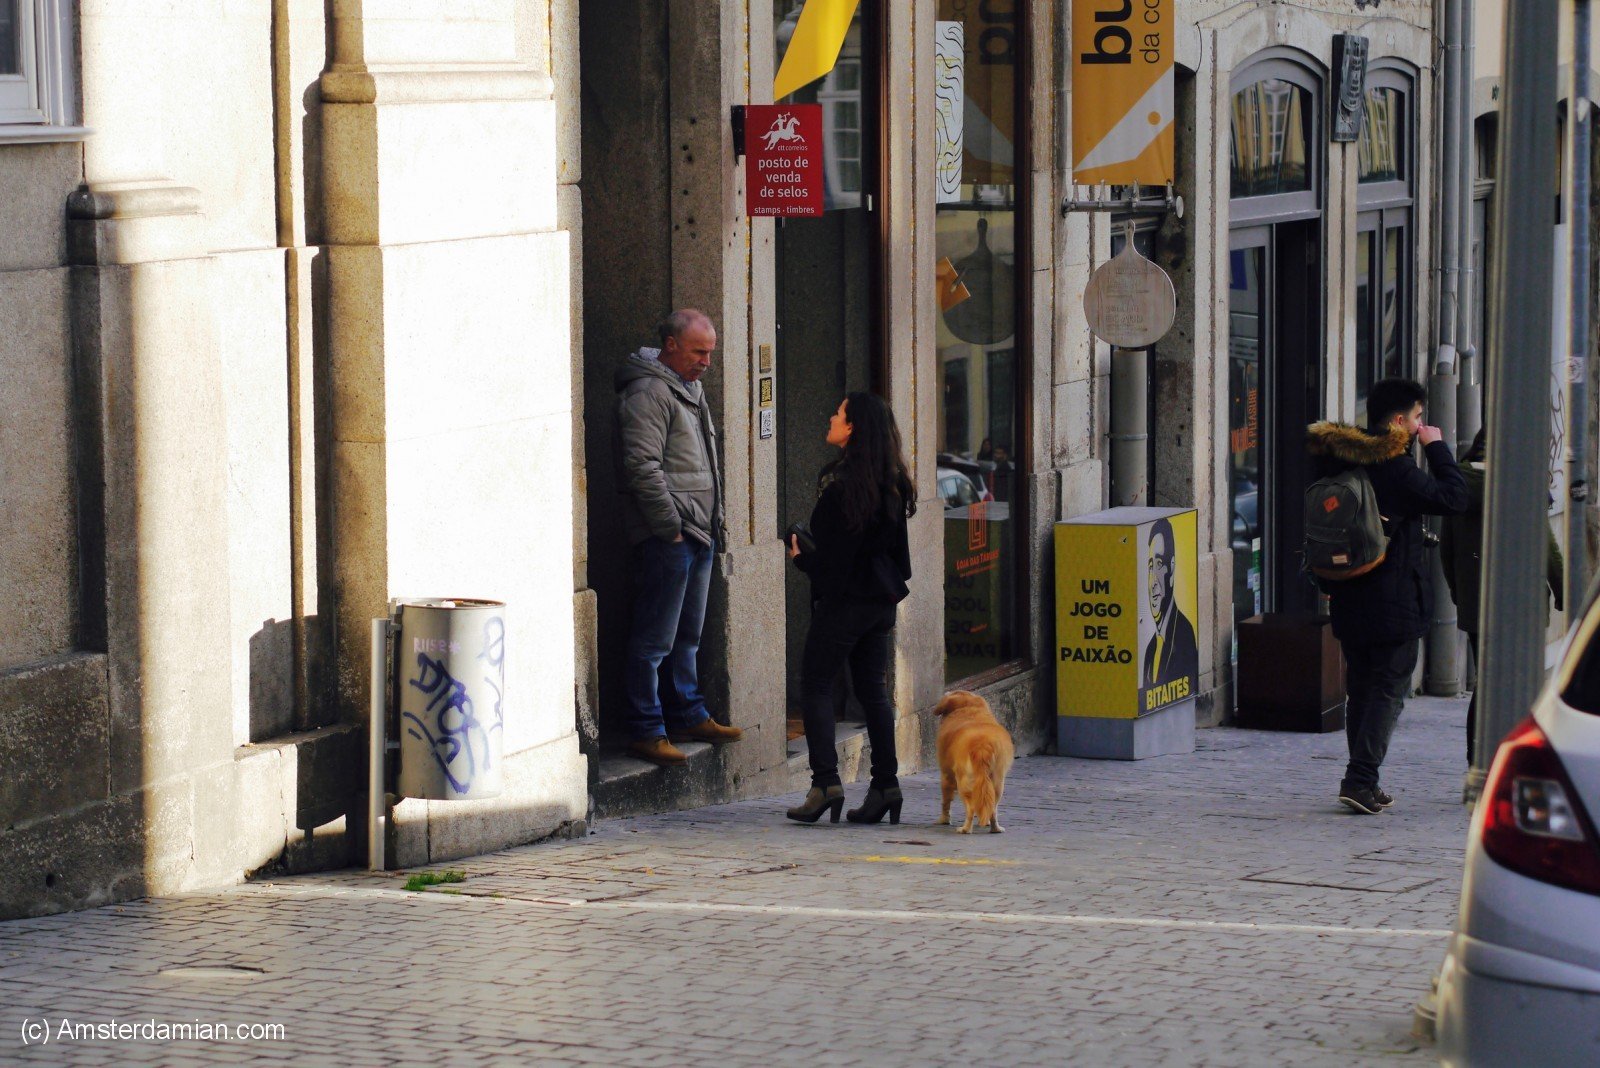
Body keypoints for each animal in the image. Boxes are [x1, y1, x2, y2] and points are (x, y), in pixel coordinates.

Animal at [934, 690, 1015, 834]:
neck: (968, 708)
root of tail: (983, 745)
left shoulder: (946, 775)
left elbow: (945, 802)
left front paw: (944, 820)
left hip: (964, 783)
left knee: (970, 808)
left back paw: (965, 829)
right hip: (997, 782)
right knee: (992, 808)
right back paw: (995, 828)